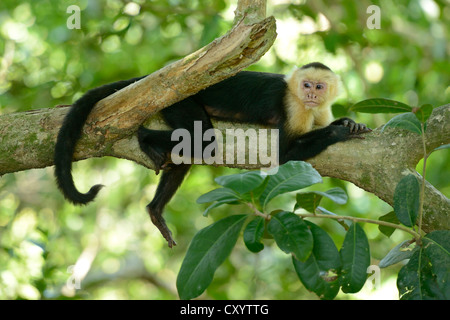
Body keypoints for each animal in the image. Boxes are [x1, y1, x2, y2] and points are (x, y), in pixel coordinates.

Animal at [53, 62, 370, 248]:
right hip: (179, 100)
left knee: (189, 150)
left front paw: (348, 123)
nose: (312, 95)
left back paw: (155, 209)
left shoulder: (317, 110)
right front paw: (339, 133)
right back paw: (145, 139)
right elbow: (284, 154)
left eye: (319, 86)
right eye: (306, 85)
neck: (306, 104)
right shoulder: (294, 106)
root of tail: (158, 81)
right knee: (201, 139)